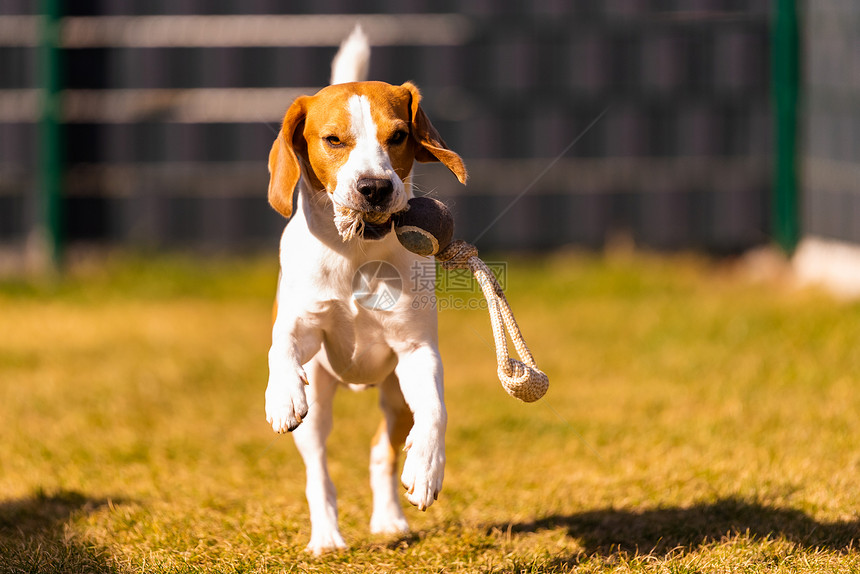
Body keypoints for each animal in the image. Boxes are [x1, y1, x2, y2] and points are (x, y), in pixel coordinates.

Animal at [266, 28, 466, 560]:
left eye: (398, 136)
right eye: (333, 139)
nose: (374, 187)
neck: (357, 254)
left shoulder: (417, 352)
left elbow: (435, 411)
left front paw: (428, 467)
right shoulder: (303, 324)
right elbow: (281, 343)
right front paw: (281, 392)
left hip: (395, 396)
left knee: (383, 452)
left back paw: (390, 518)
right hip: (320, 403)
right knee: (318, 470)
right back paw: (326, 537)